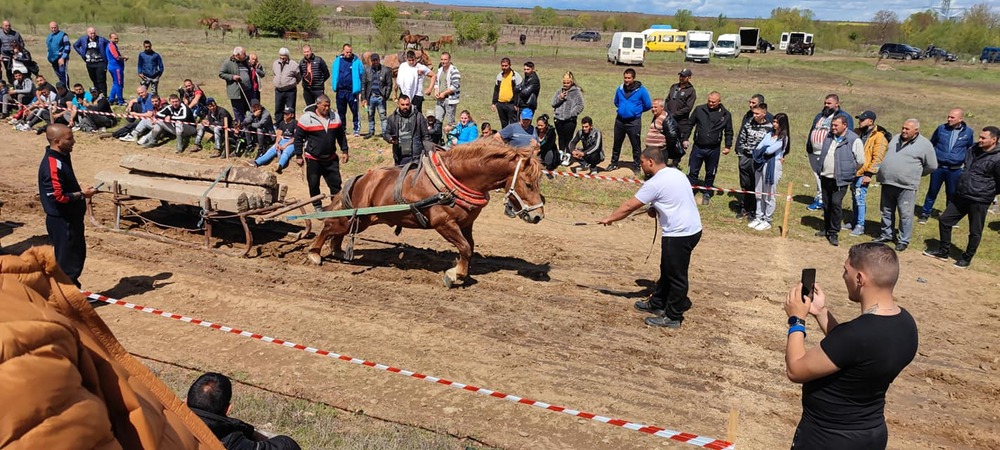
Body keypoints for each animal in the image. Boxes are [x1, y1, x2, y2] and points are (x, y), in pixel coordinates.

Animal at [308, 142, 548, 288]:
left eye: (538, 182)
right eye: (528, 183)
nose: (538, 216)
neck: (454, 181)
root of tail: (361, 179)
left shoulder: (466, 224)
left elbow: (469, 248)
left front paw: (461, 271)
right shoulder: (444, 223)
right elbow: (464, 247)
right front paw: (454, 275)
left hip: (358, 218)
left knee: (338, 230)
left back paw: (337, 250)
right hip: (360, 218)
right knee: (329, 227)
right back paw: (314, 253)